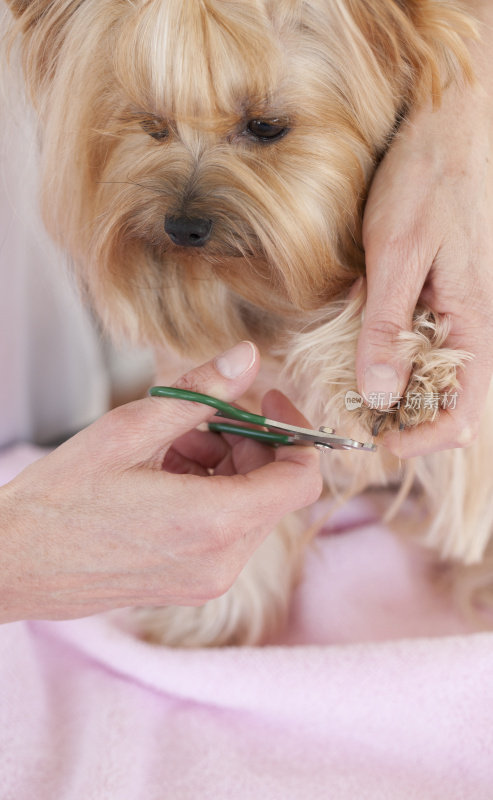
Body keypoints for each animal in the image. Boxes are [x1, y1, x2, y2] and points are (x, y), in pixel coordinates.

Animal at [5, 0, 490, 648]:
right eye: (153, 125)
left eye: (265, 126)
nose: (182, 226)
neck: (276, 290)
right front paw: (206, 621)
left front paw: (411, 374)